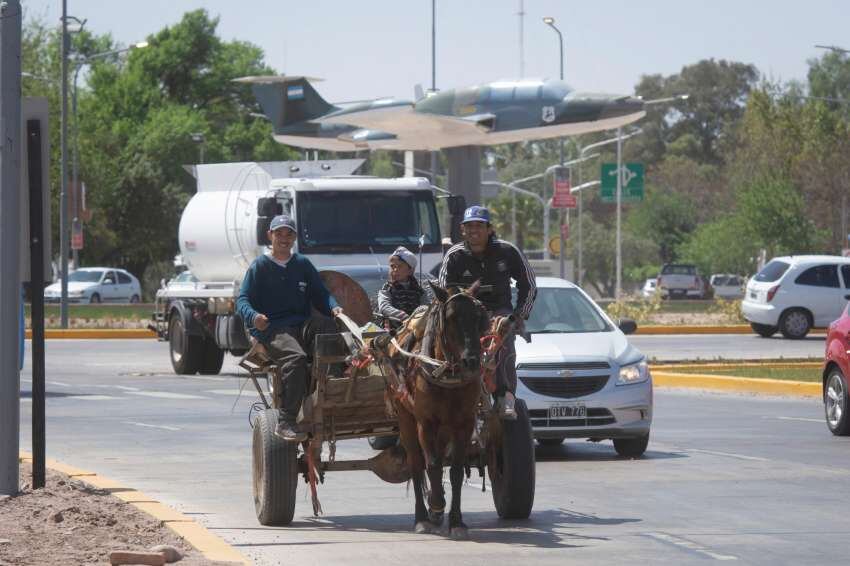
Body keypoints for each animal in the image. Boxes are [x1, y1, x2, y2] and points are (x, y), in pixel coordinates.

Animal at [372, 282, 490, 540]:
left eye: (479, 317)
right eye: (451, 317)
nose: (472, 361)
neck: (444, 371)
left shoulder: (464, 423)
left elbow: (455, 471)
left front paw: (456, 521)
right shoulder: (425, 423)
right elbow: (432, 465)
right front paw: (435, 506)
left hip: (444, 428)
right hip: (406, 420)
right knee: (417, 464)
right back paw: (423, 517)